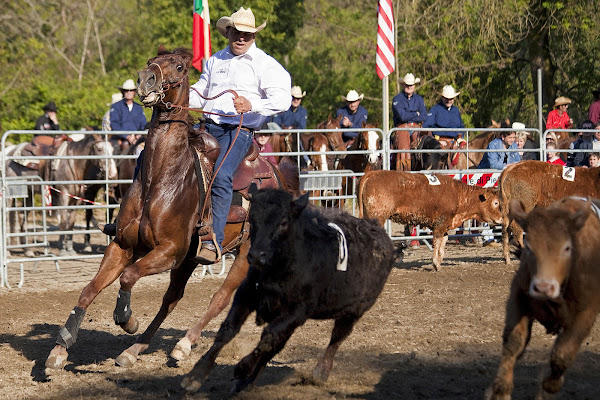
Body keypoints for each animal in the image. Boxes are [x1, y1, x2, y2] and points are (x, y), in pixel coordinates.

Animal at [45, 47, 298, 372]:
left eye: (178, 66)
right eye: (151, 62)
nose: (145, 80)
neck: (161, 176)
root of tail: (278, 176)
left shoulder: (170, 250)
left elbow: (129, 277)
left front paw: (127, 319)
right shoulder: (123, 245)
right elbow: (90, 289)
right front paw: (60, 347)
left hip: (244, 254)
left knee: (221, 297)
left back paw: (183, 345)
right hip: (190, 259)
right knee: (172, 298)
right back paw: (133, 351)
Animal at [358, 170, 504, 270]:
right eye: (496, 203)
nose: (502, 218)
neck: (458, 195)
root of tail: (372, 173)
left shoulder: (446, 225)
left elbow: (443, 243)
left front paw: (439, 263)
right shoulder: (440, 223)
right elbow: (437, 242)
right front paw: (435, 263)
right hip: (377, 217)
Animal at [486, 198, 600, 400]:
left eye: (567, 247)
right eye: (529, 247)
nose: (543, 288)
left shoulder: (586, 312)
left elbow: (563, 353)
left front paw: (551, 384)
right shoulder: (518, 297)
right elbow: (513, 343)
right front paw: (501, 389)